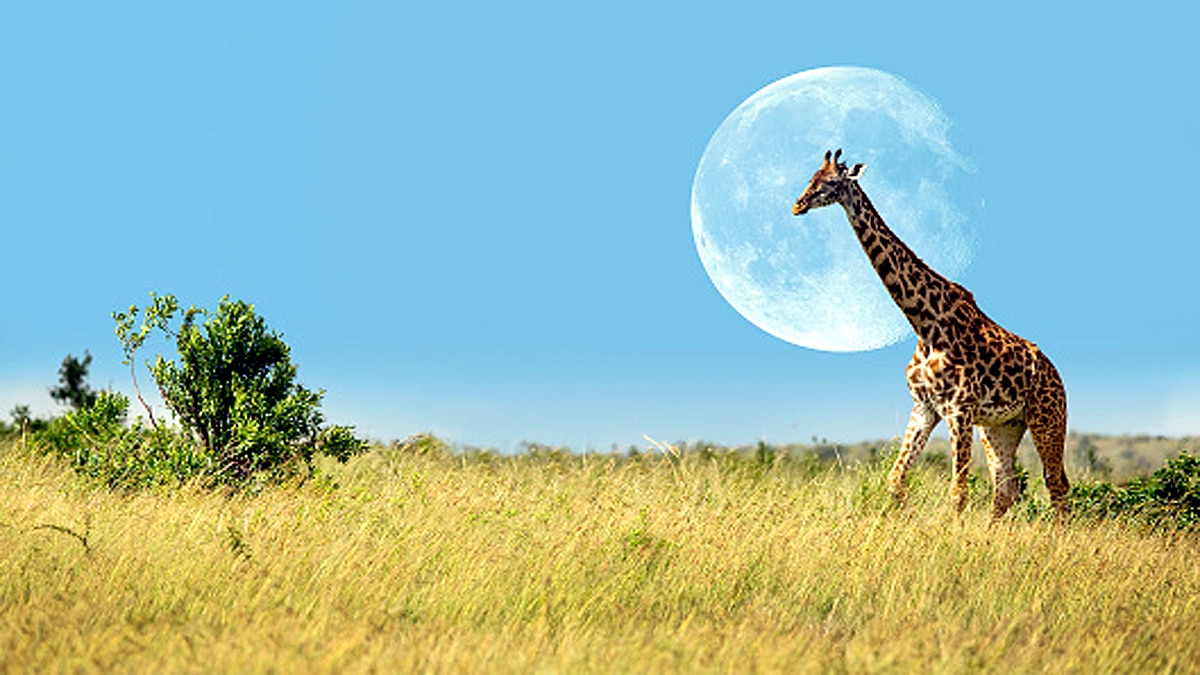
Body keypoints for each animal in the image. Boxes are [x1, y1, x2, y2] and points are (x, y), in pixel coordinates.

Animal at [792, 149, 1069, 521]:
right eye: (811, 177)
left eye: (833, 183)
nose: (798, 205)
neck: (925, 323)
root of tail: (1056, 375)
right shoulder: (924, 406)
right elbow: (895, 480)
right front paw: (908, 518)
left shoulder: (959, 409)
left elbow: (958, 492)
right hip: (1002, 426)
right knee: (1006, 491)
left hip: (1047, 417)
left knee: (1056, 484)